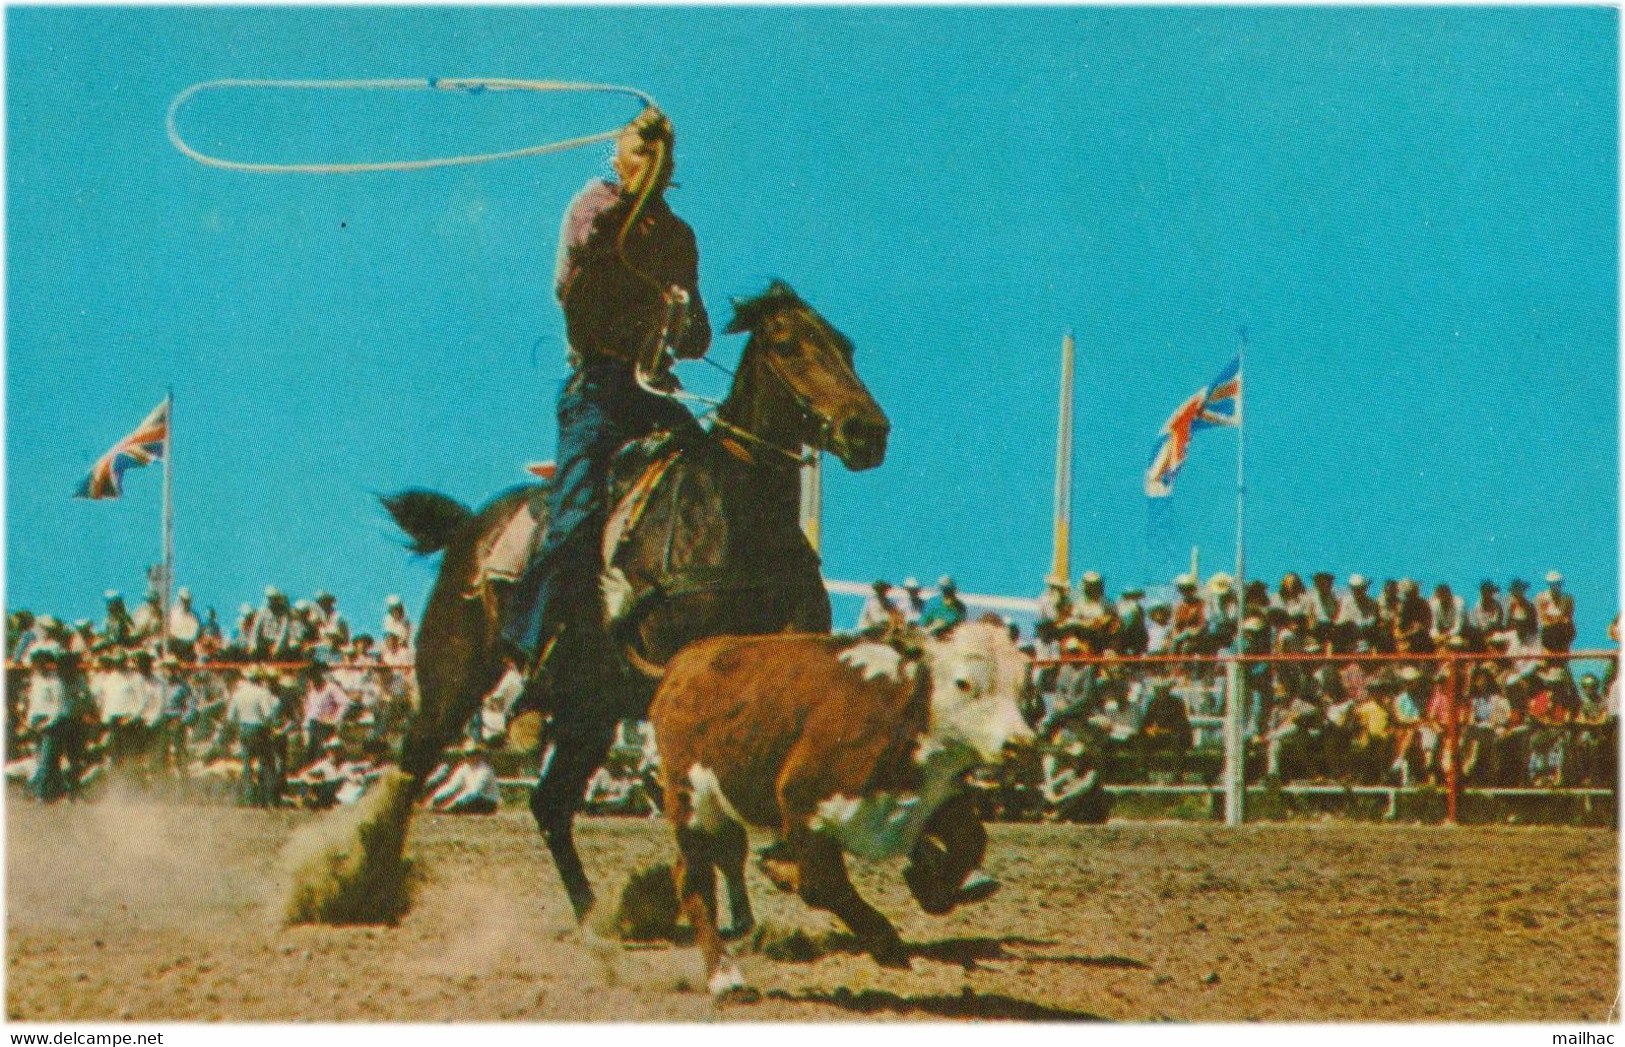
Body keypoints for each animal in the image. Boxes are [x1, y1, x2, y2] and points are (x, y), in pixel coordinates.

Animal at [380, 282, 890, 923]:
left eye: (846, 346)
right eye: (787, 344)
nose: (867, 431)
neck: (734, 515)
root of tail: (467, 531)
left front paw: (767, 897)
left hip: (589, 711)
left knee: (550, 804)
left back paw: (593, 915)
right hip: (453, 678)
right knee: (412, 762)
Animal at [646, 621, 1027, 994]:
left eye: (1021, 685)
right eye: (964, 682)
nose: (1021, 744)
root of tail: (687, 658)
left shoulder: (931, 800)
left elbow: (970, 841)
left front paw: (932, 889)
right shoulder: (803, 805)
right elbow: (822, 886)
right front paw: (887, 944)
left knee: (711, 861)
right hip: (690, 802)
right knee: (696, 880)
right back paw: (725, 977)